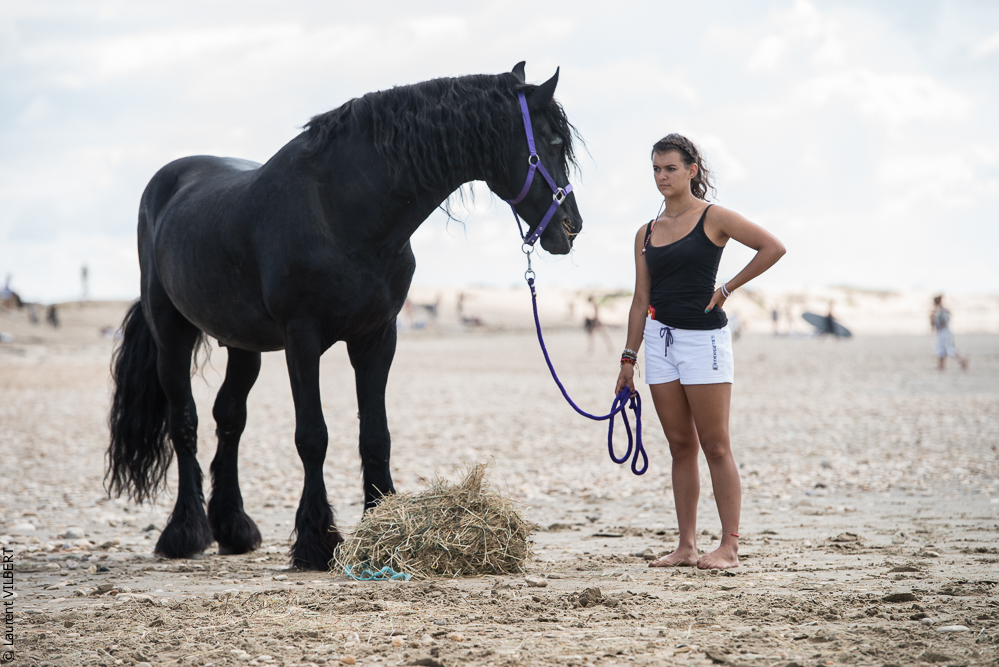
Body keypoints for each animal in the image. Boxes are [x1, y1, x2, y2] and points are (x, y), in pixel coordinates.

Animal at [105, 62, 583, 570]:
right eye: (554, 142)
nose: (572, 227)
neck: (341, 211)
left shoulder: (377, 338)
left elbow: (375, 435)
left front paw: (379, 526)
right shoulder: (302, 339)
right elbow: (312, 436)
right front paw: (316, 541)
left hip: (242, 345)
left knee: (229, 419)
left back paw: (234, 528)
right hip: (171, 334)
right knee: (186, 424)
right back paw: (185, 532)